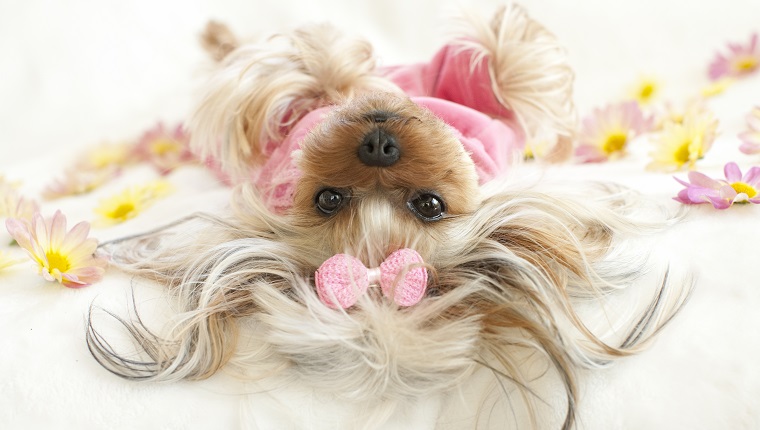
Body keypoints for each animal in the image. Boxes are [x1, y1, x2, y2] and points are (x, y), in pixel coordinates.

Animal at [86, 5, 692, 428]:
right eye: (329, 199)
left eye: (429, 205)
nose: (378, 142)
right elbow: (288, 77)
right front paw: (327, 68)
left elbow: (500, 75)